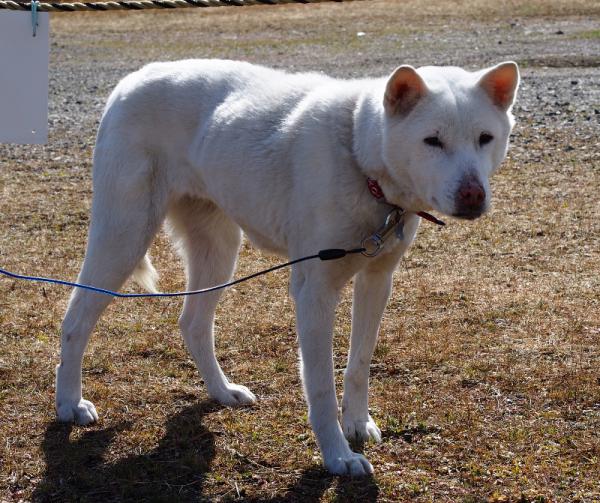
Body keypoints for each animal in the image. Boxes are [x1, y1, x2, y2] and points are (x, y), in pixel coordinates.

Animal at [54, 59, 516, 476]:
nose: (474, 196)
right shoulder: (315, 292)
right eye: (432, 140)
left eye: (485, 138)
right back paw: (69, 404)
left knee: (193, 324)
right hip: (123, 238)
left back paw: (221, 391)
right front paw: (338, 457)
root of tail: (132, 79)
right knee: (74, 321)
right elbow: (321, 385)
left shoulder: (377, 281)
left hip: (218, 251)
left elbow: (359, 364)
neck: (357, 149)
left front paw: (357, 424)